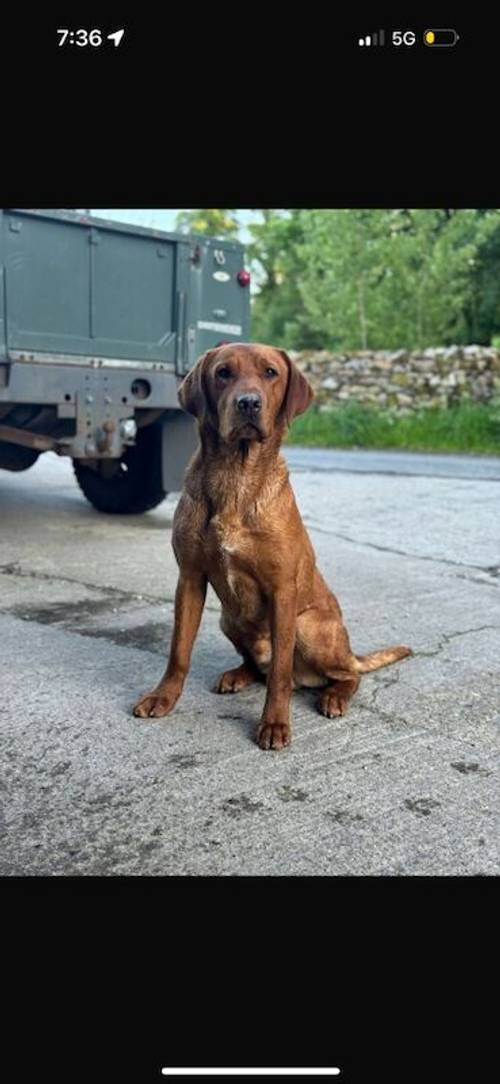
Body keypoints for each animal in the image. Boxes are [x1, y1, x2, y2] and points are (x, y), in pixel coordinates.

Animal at [132, 342, 409, 750]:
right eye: (223, 373)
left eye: (270, 373)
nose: (248, 403)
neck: (235, 476)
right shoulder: (190, 578)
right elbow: (178, 650)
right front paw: (162, 697)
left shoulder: (282, 591)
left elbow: (279, 671)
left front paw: (275, 723)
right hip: (228, 618)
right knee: (258, 665)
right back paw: (238, 674)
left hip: (308, 626)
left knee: (345, 674)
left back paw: (334, 696)